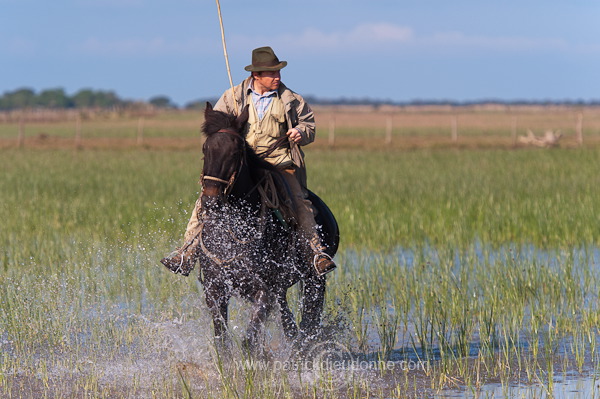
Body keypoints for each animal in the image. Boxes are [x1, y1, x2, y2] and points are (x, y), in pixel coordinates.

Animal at [197, 103, 338, 354]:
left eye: (236, 152)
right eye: (206, 149)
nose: (210, 201)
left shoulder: (264, 291)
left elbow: (249, 340)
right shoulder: (215, 291)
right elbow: (222, 342)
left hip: (315, 280)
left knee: (309, 322)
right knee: (289, 322)